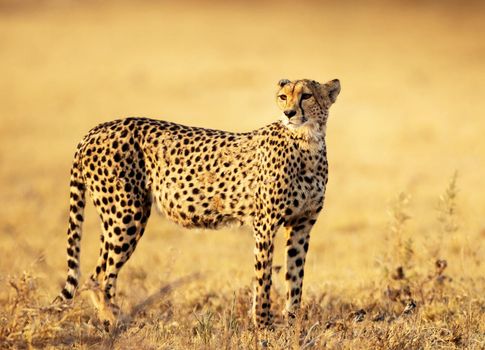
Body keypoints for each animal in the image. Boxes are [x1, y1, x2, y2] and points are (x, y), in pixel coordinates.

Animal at [56, 78, 340, 326]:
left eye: (306, 95)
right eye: (283, 97)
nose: (289, 113)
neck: (308, 143)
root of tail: (96, 129)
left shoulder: (302, 225)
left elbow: (295, 277)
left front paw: (293, 324)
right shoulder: (265, 225)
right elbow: (263, 279)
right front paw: (263, 326)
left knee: (95, 275)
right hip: (126, 215)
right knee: (101, 276)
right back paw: (117, 323)